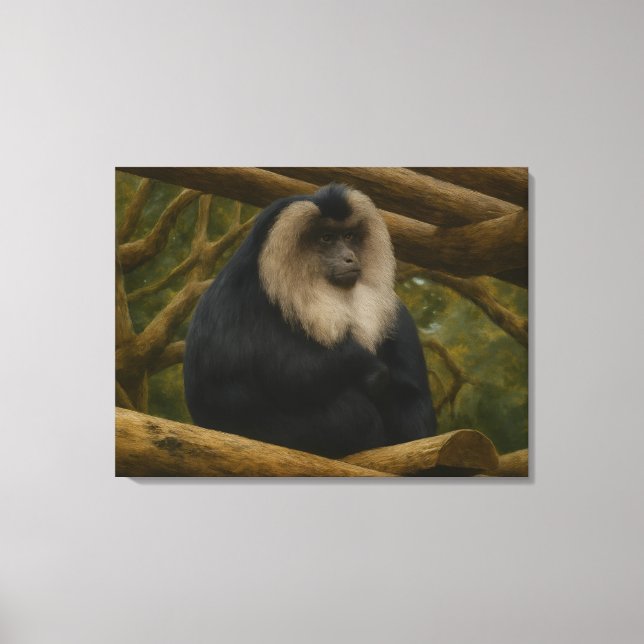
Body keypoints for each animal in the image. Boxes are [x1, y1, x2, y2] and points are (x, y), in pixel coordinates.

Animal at [183, 183, 436, 458]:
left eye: (349, 236)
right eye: (326, 238)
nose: (349, 257)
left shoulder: (397, 314)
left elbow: (416, 412)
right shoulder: (231, 302)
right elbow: (229, 392)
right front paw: (364, 366)